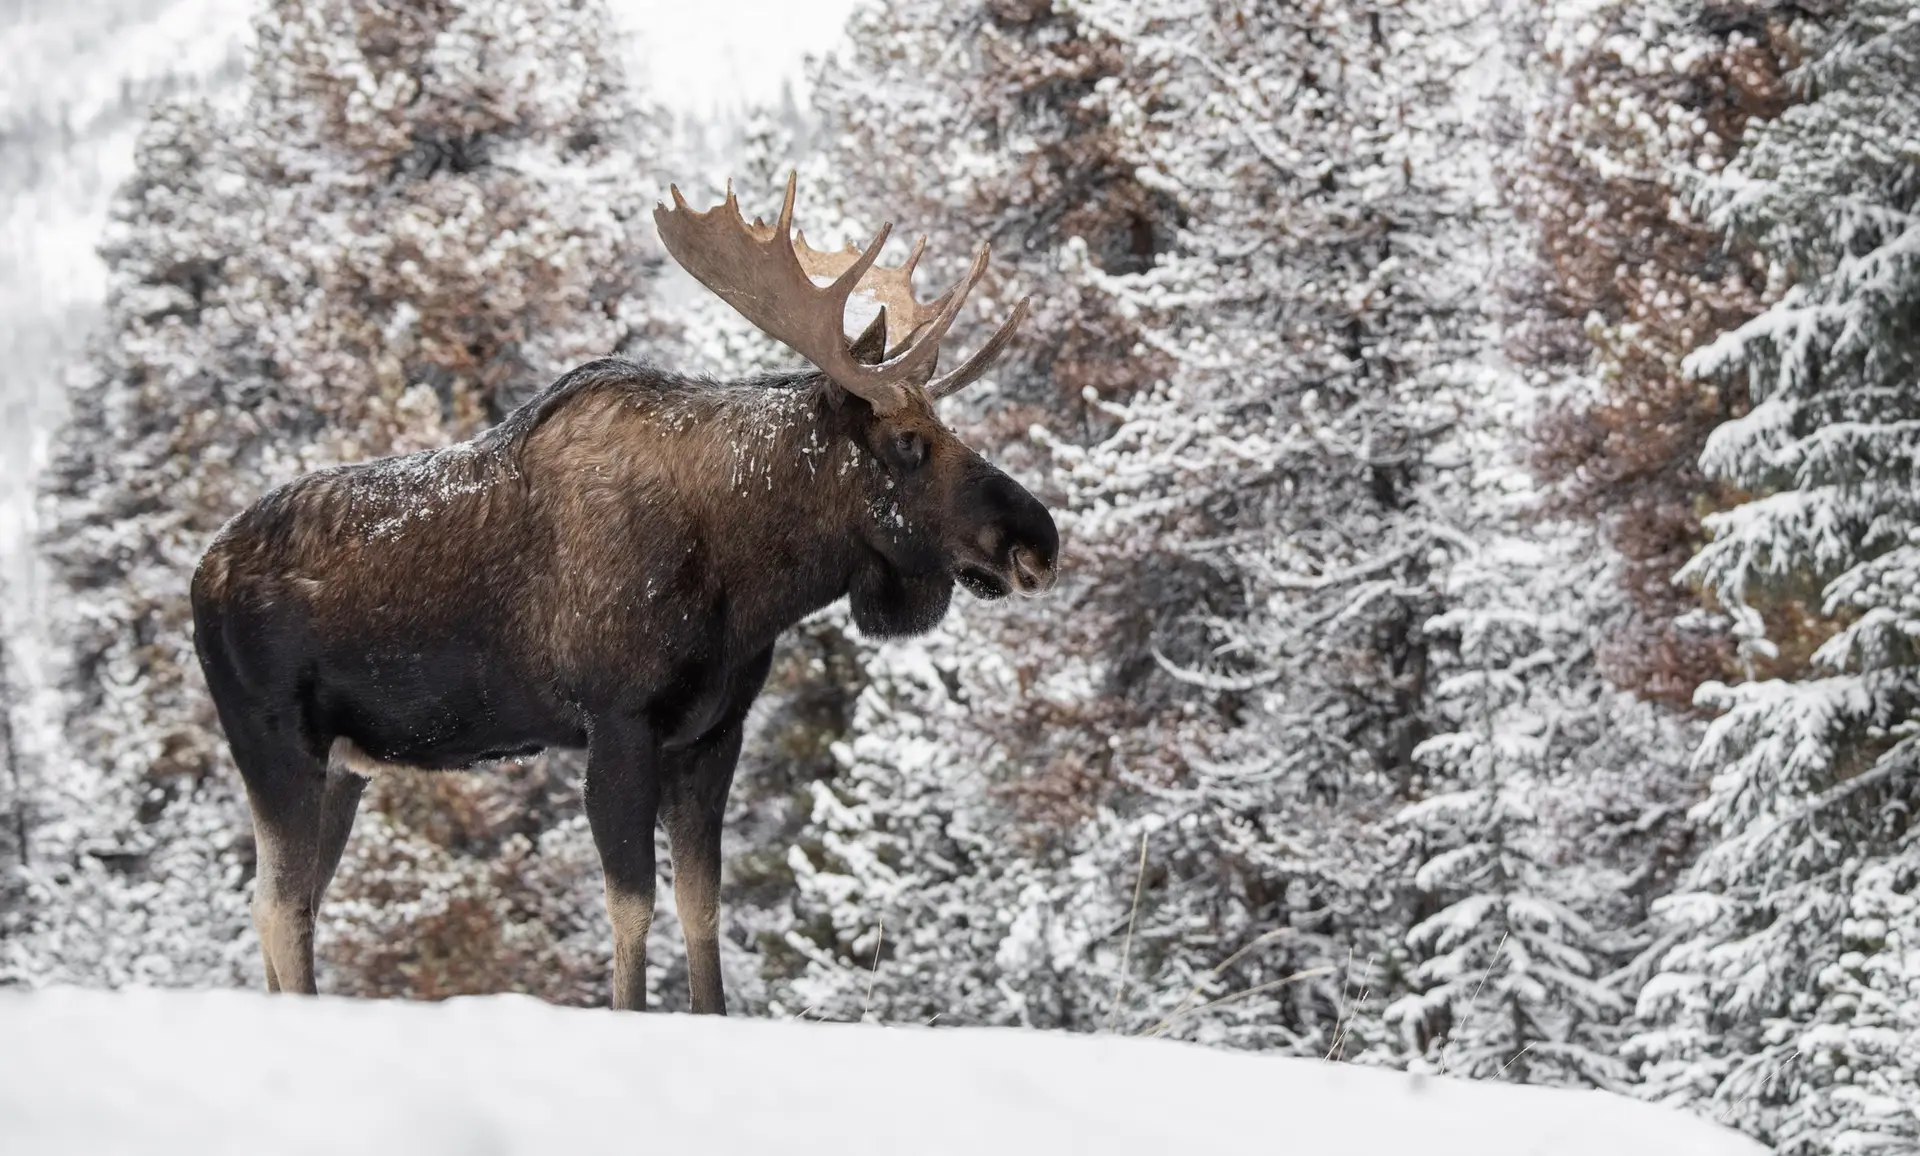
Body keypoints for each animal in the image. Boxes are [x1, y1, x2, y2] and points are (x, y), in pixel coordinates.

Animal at [190, 175, 1059, 1013]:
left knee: (289, 903)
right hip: (275, 742)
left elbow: (701, 907)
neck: (748, 580)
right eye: (909, 442)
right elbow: (631, 910)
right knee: (281, 907)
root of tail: (202, 577)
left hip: (344, 764)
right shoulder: (618, 723)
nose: (1038, 539)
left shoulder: (712, 734)